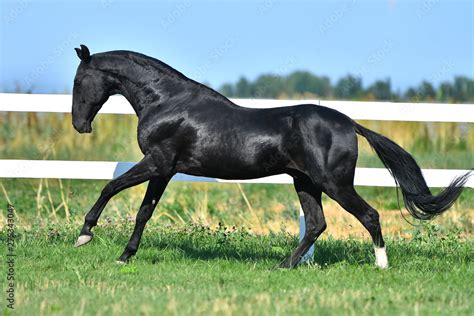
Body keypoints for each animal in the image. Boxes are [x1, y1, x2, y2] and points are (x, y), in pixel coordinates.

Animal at [72, 45, 468, 270]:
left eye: (78, 81)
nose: (80, 126)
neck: (167, 102)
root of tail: (349, 123)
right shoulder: (165, 170)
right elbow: (144, 211)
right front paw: (125, 256)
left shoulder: (157, 162)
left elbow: (110, 188)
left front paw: (85, 235)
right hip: (306, 182)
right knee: (316, 224)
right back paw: (283, 265)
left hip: (333, 183)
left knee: (368, 215)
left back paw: (381, 265)